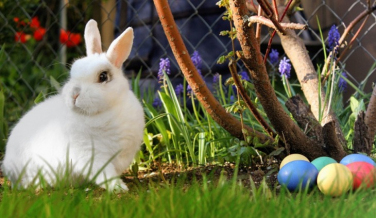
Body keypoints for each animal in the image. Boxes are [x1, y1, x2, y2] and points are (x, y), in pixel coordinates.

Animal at [1, 19, 145, 192]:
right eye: (72, 73)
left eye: (103, 76)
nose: (74, 94)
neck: (105, 112)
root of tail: (7, 166)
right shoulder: (91, 155)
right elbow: (105, 174)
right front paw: (118, 188)